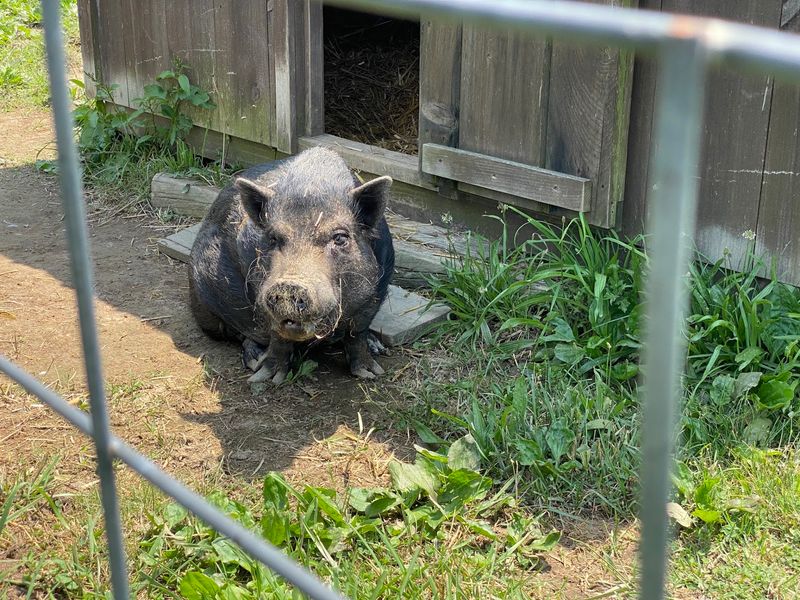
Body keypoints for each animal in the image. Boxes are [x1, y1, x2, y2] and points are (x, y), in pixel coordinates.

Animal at [188, 147, 394, 384]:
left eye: (340, 238)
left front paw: (371, 373)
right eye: (273, 238)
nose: (289, 285)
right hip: (205, 310)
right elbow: (278, 336)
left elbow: (357, 332)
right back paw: (255, 360)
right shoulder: (258, 288)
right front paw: (266, 378)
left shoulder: (377, 288)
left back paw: (378, 347)